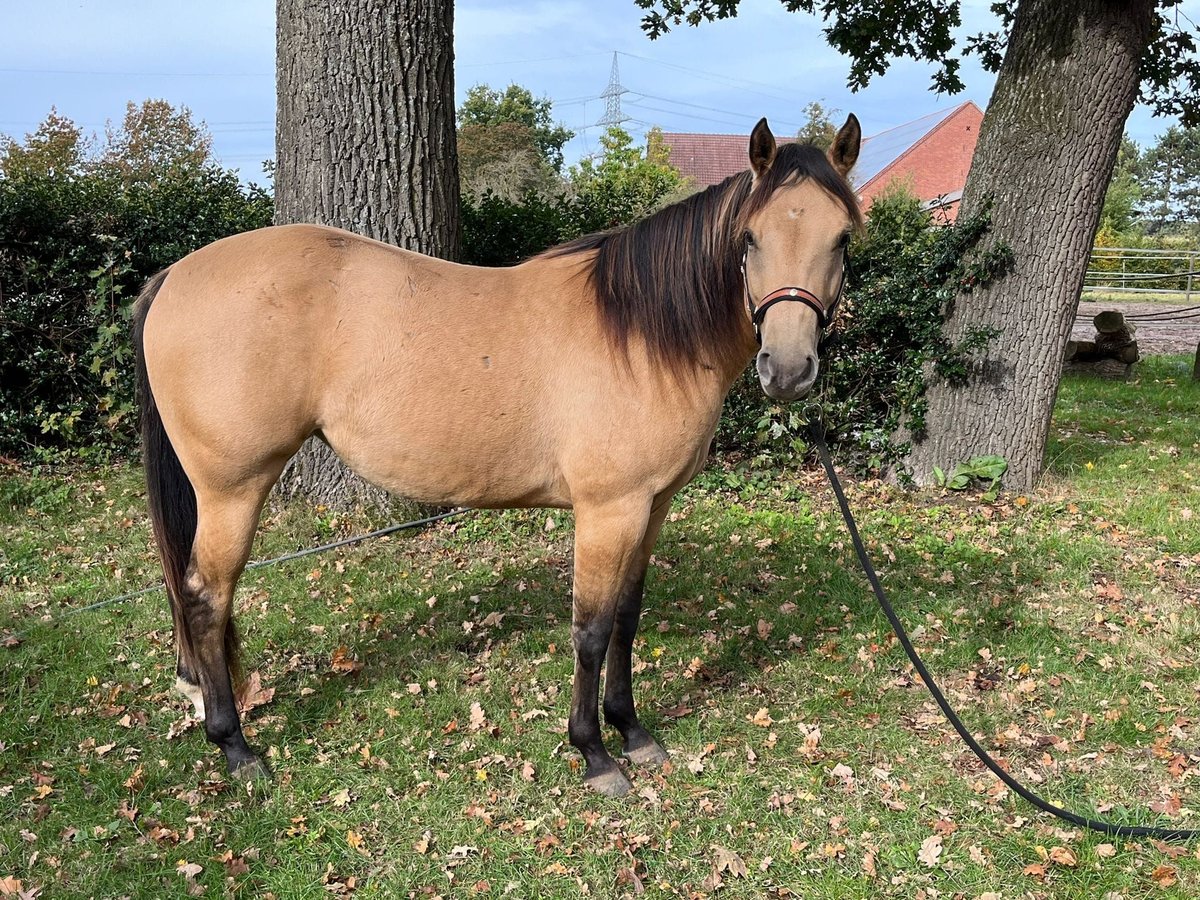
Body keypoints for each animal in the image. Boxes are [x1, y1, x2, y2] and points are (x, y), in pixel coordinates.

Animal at [136, 114, 859, 796]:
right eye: (750, 238)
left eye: (843, 238)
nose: (787, 369)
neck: (640, 332)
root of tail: (173, 277)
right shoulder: (609, 511)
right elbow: (591, 630)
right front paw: (594, 753)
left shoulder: (651, 507)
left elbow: (627, 618)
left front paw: (633, 731)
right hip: (232, 489)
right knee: (204, 596)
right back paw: (235, 745)